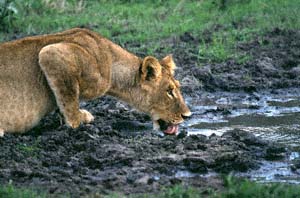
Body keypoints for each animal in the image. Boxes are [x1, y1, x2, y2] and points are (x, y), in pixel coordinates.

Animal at [0, 27, 191, 136]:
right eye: (169, 91)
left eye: (177, 88)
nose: (187, 116)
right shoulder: (52, 53)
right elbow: (69, 101)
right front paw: (79, 120)